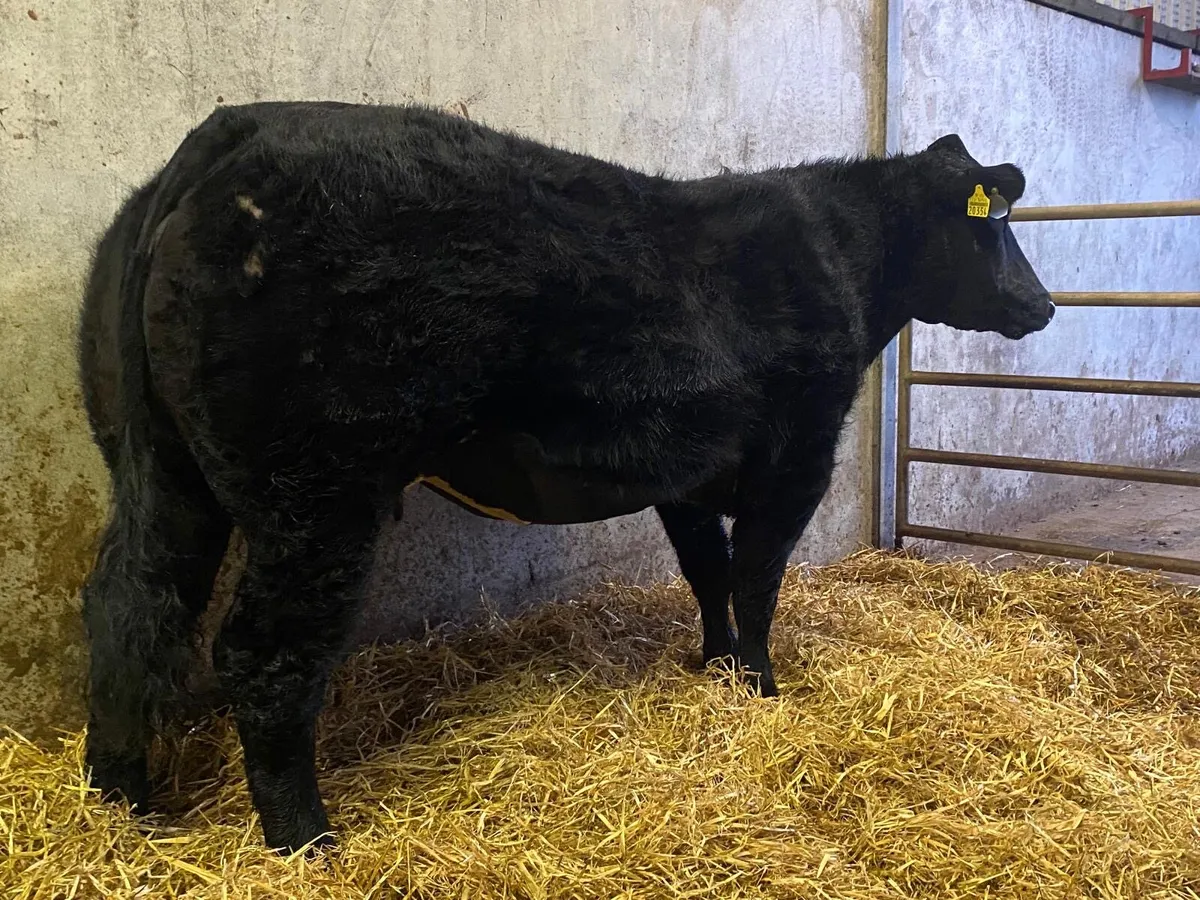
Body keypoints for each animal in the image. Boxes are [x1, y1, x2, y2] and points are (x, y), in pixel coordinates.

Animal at [77, 101, 1054, 853]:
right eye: (992, 224)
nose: (1043, 305)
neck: (842, 262)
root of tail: (227, 135)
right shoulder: (798, 454)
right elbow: (756, 577)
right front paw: (762, 685)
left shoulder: (687, 472)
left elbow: (706, 573)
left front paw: (714, 667)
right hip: (315, 494)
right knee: (262, 651)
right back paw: (306, 840)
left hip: (160, 469)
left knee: (129, 606)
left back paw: (122, 803)